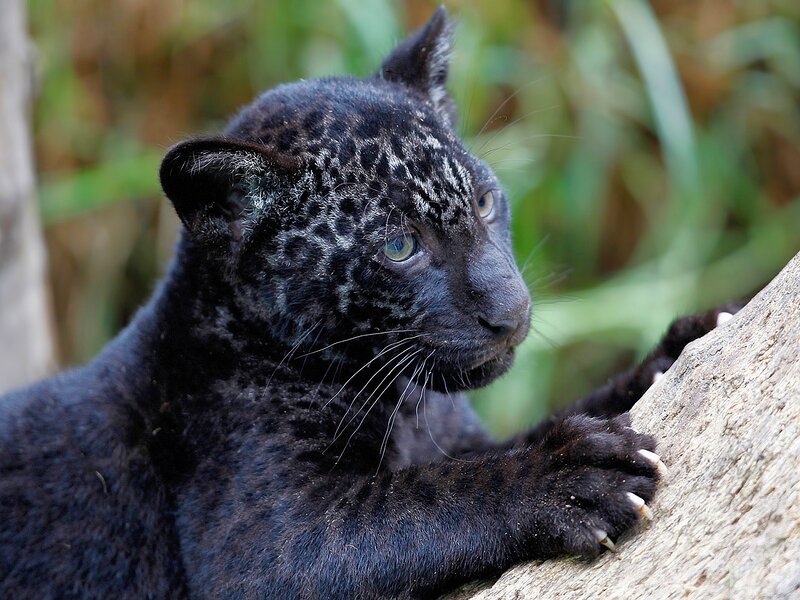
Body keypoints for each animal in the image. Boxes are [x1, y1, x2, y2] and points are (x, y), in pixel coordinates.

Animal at [0, 7, 742, 599]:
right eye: (398, 247)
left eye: (483, 202)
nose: (511, 311)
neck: (411, 407)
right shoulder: (266, 541)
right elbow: (431, 498)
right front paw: (572, 477)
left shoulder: (460, 437)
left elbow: (553, 419)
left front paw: (685, 344)